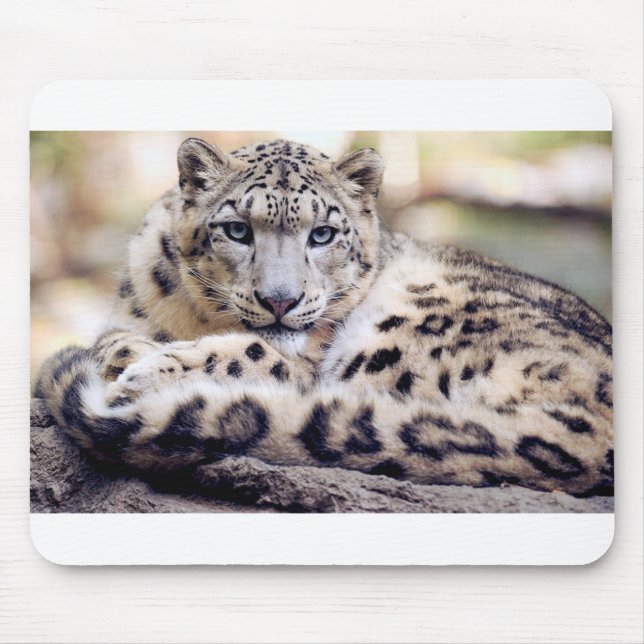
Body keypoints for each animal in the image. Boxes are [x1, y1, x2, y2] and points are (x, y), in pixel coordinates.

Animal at [35, 137, 614, 496]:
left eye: (323, 233)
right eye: (237, 229)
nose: (280, 300)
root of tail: (598, 435)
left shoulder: (304, 362)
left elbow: (253, 354)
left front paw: (145, 370)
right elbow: (114, 338)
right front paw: (128, 354)